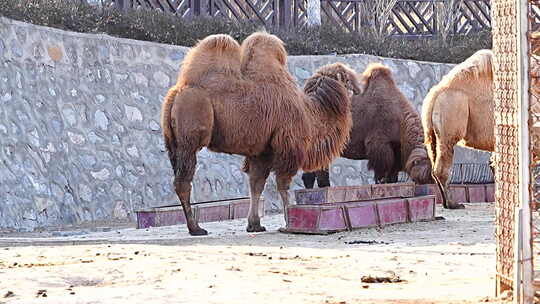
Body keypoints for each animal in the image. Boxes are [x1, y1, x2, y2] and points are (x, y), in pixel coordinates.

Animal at [162, 32, 360, 235]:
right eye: (346, 79)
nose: (358, 89)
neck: (311, 114)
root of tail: (177, 92)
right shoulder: (287, 147)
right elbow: (283, 184)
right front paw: (289, 221)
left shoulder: (262, 151)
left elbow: (256, 185)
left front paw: (254, 224)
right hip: (190, 135)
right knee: (183, 182)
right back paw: (196, 227)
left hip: (172, 143)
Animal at [304, 63, 434, 188]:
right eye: (419, 178)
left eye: (432, 177)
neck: (400, 120)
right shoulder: (379, 143)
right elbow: (382, 169)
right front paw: (381, 183)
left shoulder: (396, 149)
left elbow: (392, 174)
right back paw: (324, 185)